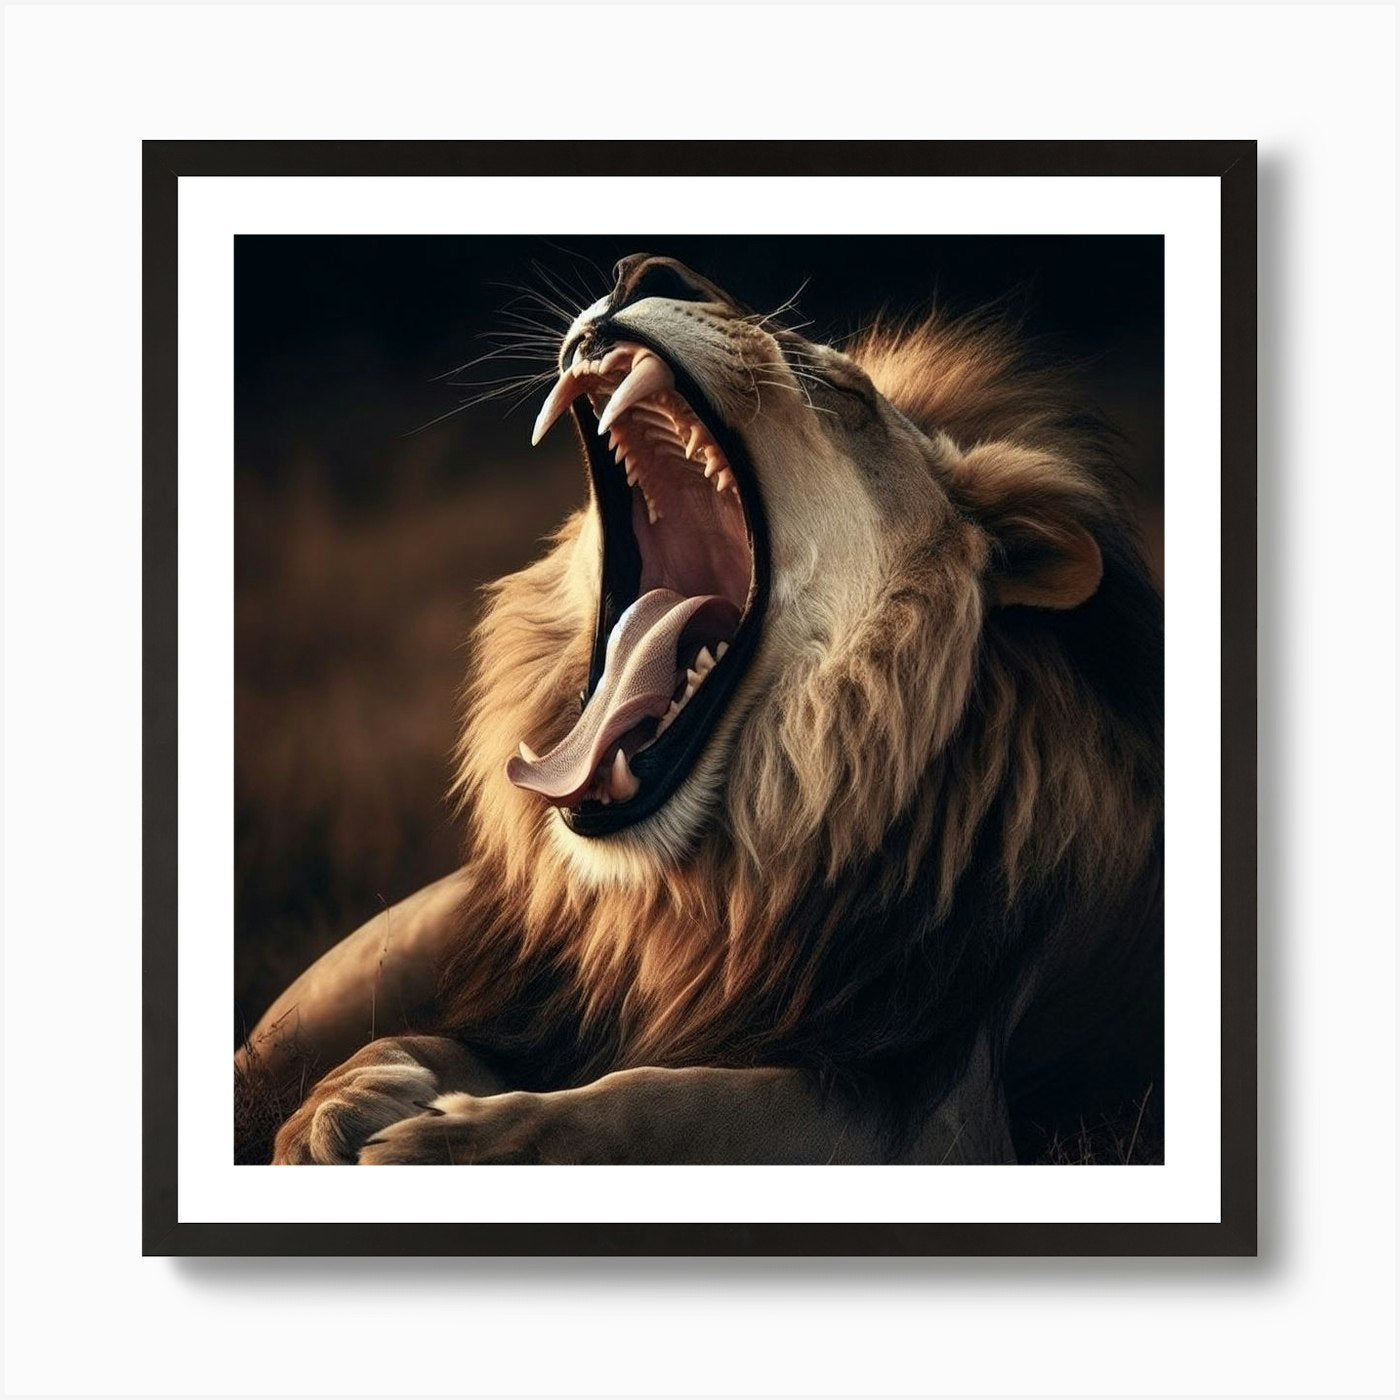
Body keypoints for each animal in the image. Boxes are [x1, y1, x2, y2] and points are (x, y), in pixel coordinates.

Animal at [242, 253, 1163, 1165]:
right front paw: (342, 1102)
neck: (700, 897)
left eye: (849, 395)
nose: (648, 267)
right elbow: (422, 1040)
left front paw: (457, 1142)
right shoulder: (533, 1011)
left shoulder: (939, 1112)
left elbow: (667, 1102)